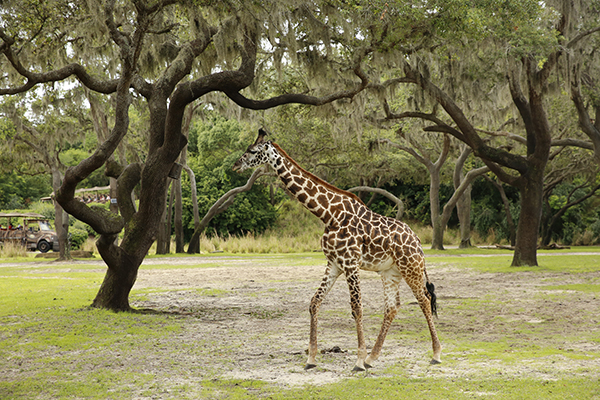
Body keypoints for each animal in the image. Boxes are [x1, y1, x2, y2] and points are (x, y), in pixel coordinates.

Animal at [233, 130, 440, 370]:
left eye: (252, 151)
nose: (235, 165)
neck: (328, 214)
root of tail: (418, 242)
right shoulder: (334, 263)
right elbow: (314, 302)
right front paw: (311, 359)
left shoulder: (351, 263)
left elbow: (357, 308)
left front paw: (358, 361)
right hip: (391, 272)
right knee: (392, 307)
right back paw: (372, 357)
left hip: (411, 267)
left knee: (424, 300)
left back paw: (435, 354)